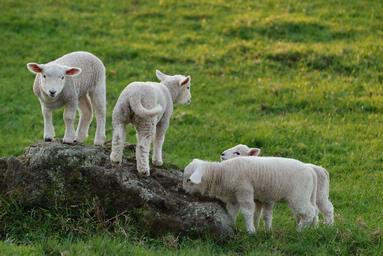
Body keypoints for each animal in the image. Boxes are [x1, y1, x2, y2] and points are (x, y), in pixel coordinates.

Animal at [183, 156, 318, 234]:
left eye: (189, 180)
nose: (184, 191)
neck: (222, 174)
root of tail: (310, 170)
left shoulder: (244, 191)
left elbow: (247, 211)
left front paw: (251, 231)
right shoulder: (233, 198)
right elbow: (232, 212)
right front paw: (231, 225)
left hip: (299, 196)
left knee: (309, 212)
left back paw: (299, 231)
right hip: (306, 195)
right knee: (313, 211)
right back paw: (311, 229)